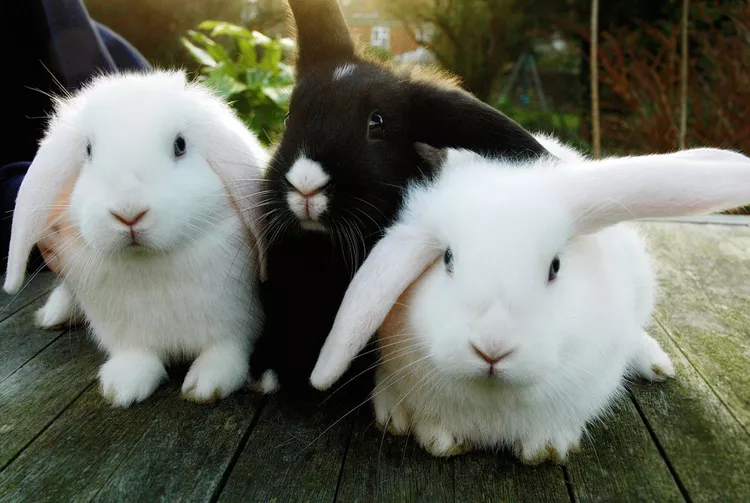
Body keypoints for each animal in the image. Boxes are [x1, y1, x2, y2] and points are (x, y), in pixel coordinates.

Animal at [3, 70, 269, 407]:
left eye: (180, 145)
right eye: (88, 150)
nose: (128, 213)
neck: (148, 263)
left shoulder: (235, 323)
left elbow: (226, 349)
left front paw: (207, 384)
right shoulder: (126, 334)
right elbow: (136, 357)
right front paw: (121, 388)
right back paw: (54, 314)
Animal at [309, 134, 750, 462]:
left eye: (555, 266)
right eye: (447, 259)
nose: (492, 349)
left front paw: (547, 447)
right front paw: (437, 438)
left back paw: (656, 365)